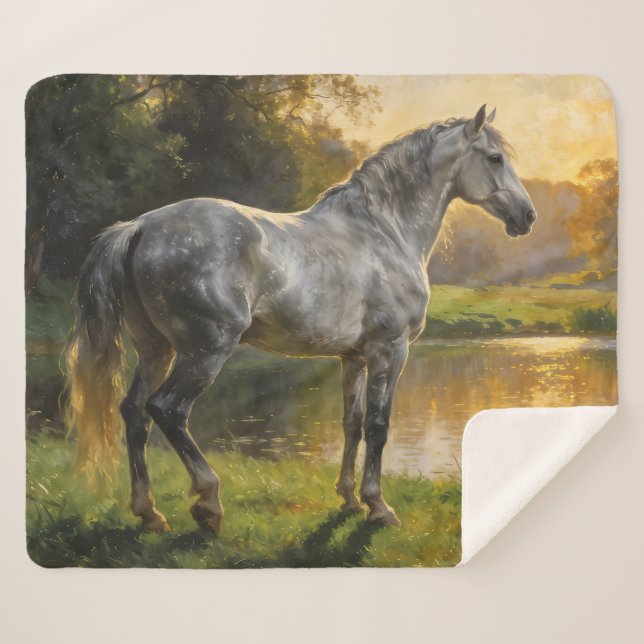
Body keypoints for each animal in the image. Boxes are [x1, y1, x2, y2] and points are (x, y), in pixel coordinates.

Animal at [65, 104, 536, 534]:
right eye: (495, 158)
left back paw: (149, 513)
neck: (385, 231)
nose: (527, 216)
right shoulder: (390, 349)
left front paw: (348, 499)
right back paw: (209, 503)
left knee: (134, 413)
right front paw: (378, 507)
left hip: (155, 349)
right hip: (205, 351)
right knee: (168, 410)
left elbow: (352, 424)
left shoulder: (354, 358)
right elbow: (379, 425)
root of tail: (140, 226)